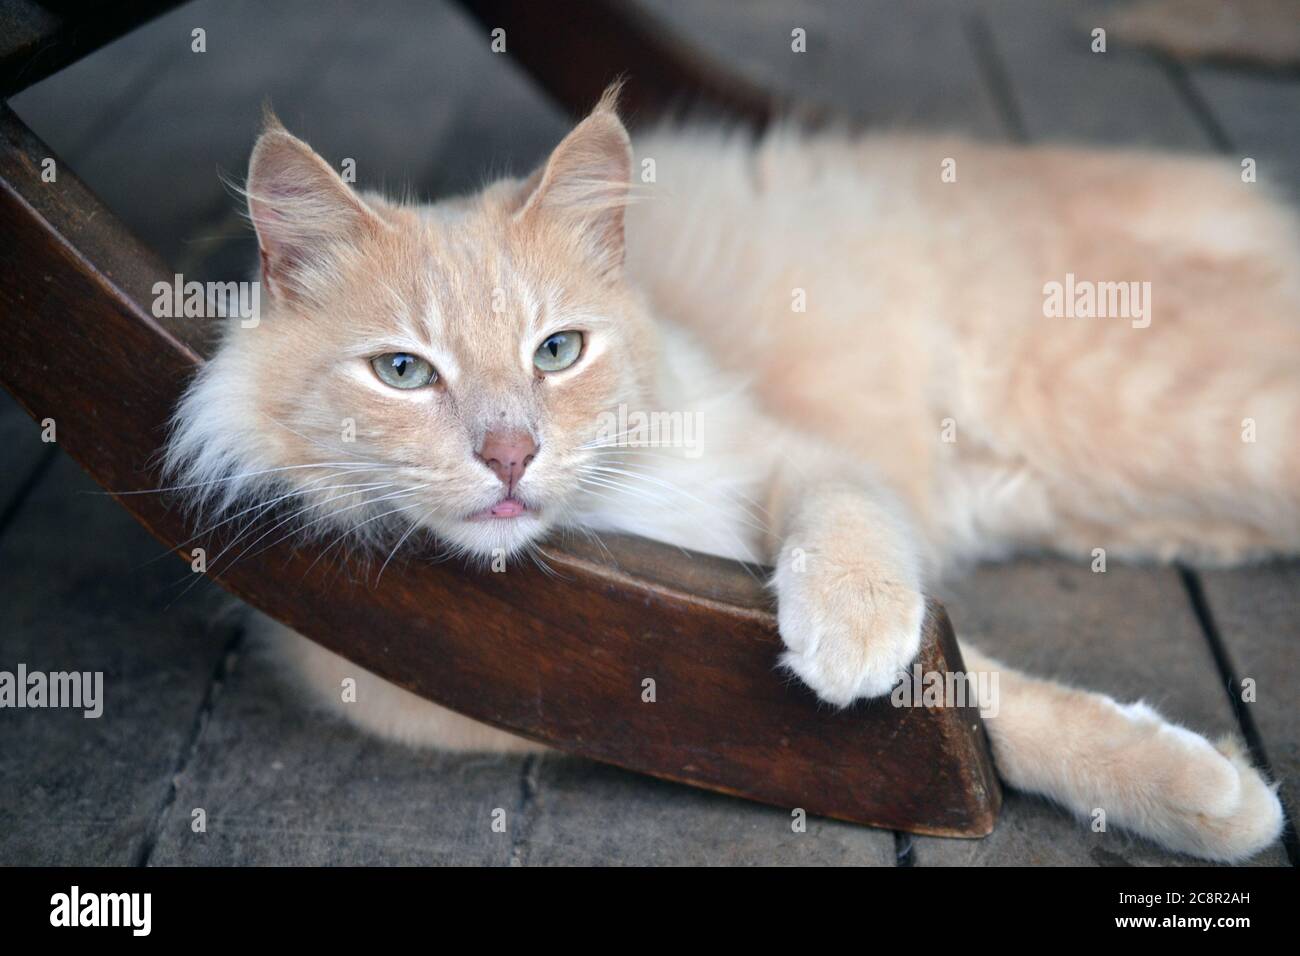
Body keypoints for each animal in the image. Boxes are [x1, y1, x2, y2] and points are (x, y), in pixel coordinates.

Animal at [167, 91, 1294, 868]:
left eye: (558, 352)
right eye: (403, 371)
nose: (509, 454)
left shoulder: (793, 459)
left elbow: (869, 562)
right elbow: (985, 703)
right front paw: (1209, 791)